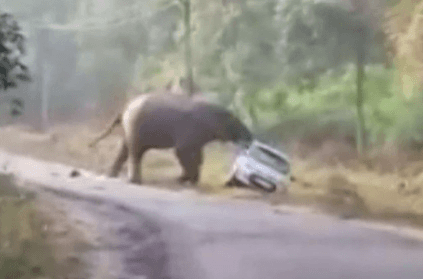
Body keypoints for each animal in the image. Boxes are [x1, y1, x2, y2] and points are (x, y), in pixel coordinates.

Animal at [88, 93, 252, 186]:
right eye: (236, 123)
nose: (251, 139)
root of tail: (125, 107)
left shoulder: (198, 136)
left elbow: (198, 155)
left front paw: (191, 180)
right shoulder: (190, 130)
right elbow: (181, 151)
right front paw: (185, 180)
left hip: (132, 128)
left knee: (126, 149)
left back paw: (112, 176)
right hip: (136, 126)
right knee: (135, 152)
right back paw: (135, 182)